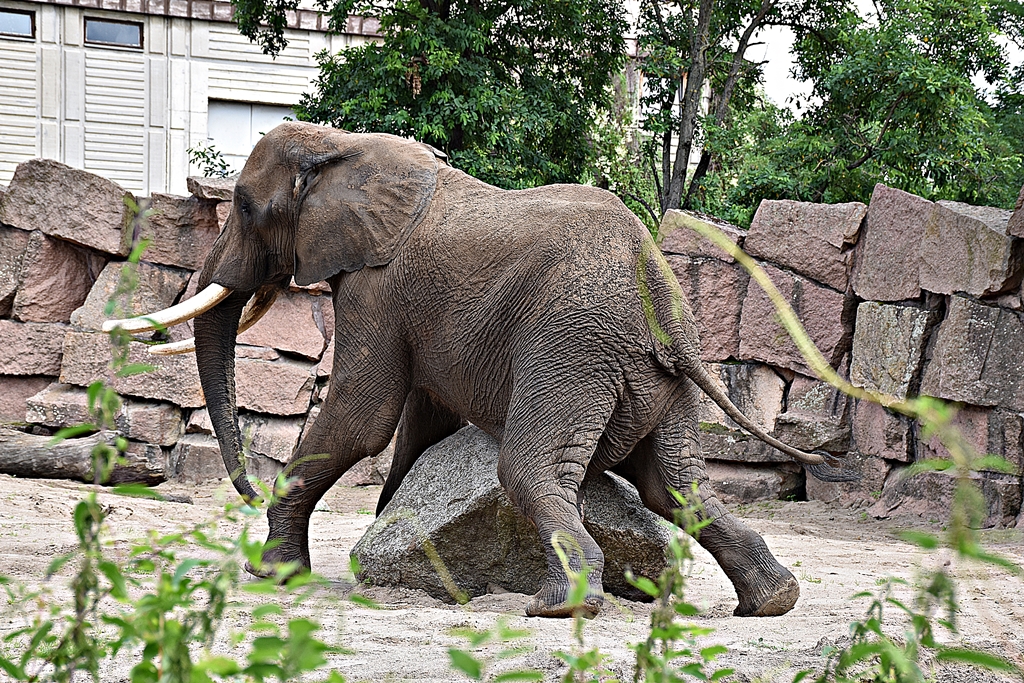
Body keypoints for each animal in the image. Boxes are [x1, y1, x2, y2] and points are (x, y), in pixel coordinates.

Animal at [105, 121, 852, 619]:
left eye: (245, 208)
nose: (244, 489)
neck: (346, 146)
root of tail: (657, 291)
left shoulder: (376, 286)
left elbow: (364, 412)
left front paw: (272, 573)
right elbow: (418, 415)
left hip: (571, 349)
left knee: (528, 470)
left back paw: (557, 605)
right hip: (653, 380)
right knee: (676, 487)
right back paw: (772, 601)